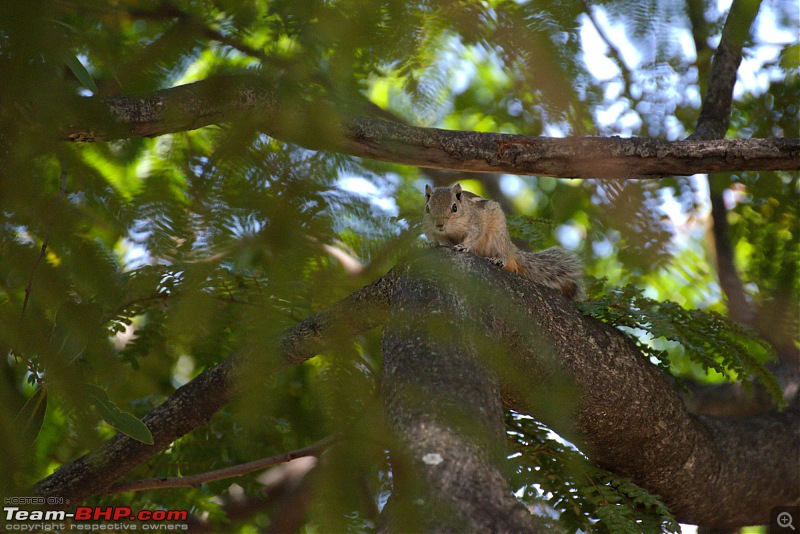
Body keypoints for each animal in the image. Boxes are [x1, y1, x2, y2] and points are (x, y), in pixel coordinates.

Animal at [422, 184, 584, 302]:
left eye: (454, 207)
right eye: (427, 208)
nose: (439, 225)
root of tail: (510, 247)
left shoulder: (475, 224)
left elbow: (474, 236)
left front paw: (463, 246)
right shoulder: (431, 230)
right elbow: (438, 240)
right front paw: (432, 244)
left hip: (497, 237)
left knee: (504, 255)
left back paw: (498, 260)